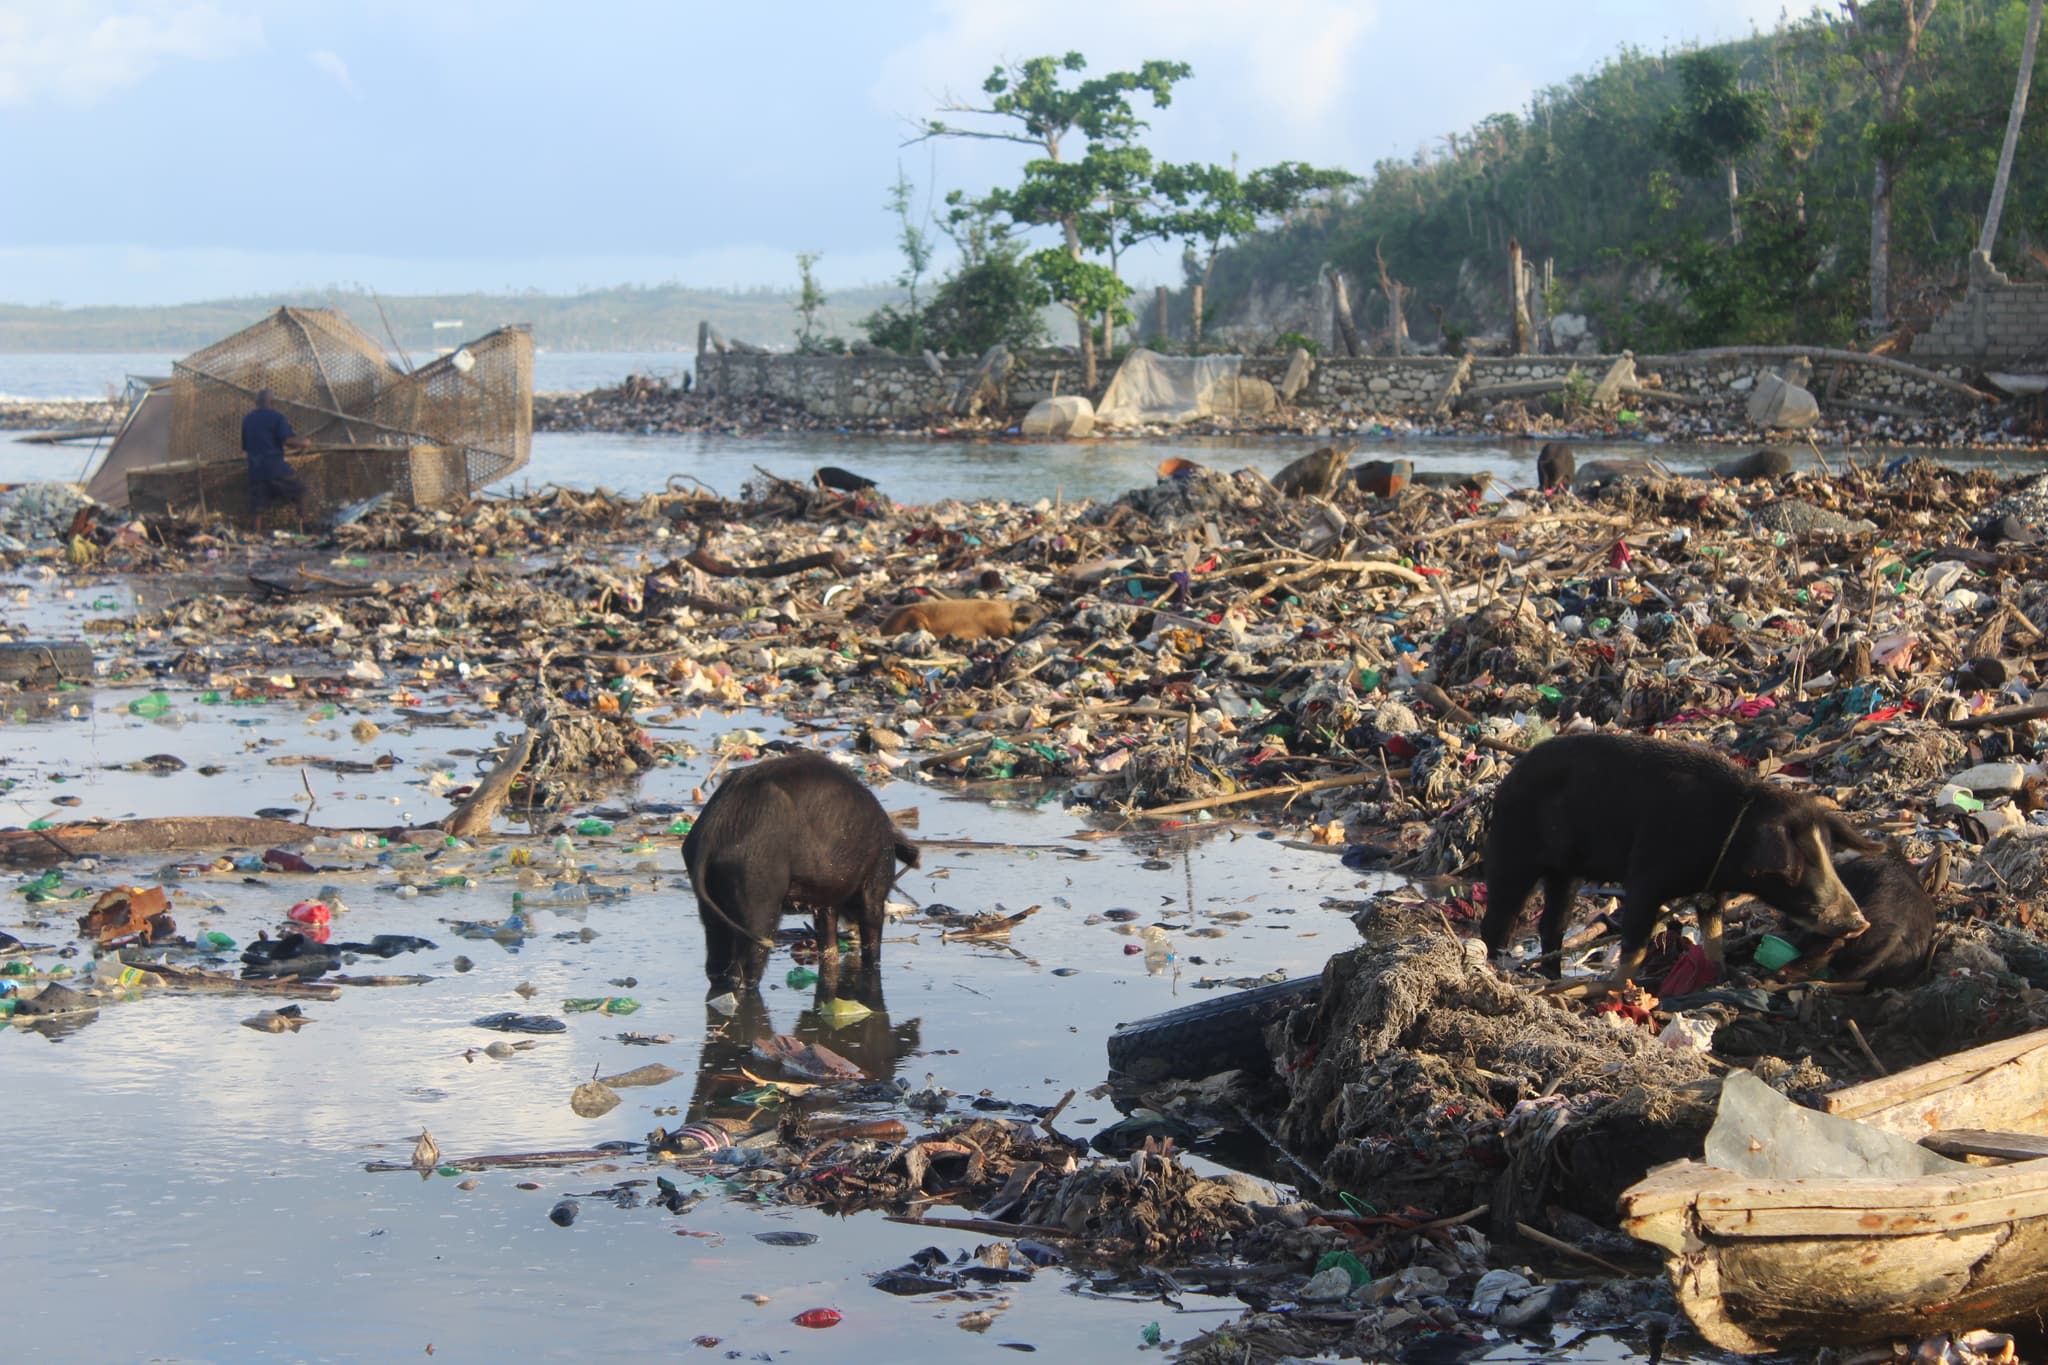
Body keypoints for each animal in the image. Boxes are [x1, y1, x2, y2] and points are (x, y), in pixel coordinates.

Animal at [684, 749, 917, 994]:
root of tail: (712, 832)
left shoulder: (826, 903)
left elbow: (829, 945)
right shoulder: (875, 885)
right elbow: (872, 941)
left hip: (710, 904)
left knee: (715, 962)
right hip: (758, 897)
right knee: (746, 966)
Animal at [1482, 736, 1875, 982]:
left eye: (1828, 854)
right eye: (1797, 867)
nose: (1859, 922)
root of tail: (1508, 779)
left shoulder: (1712, 891)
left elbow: (1714, 934)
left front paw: (1721, 976)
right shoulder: (1645, 876)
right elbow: (1635, 944)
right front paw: (1617, 991)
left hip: (1567, 873)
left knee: (1552, 925)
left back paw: (1553, 977)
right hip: (1513, 851)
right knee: (1499, 919)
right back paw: (1496, 969)